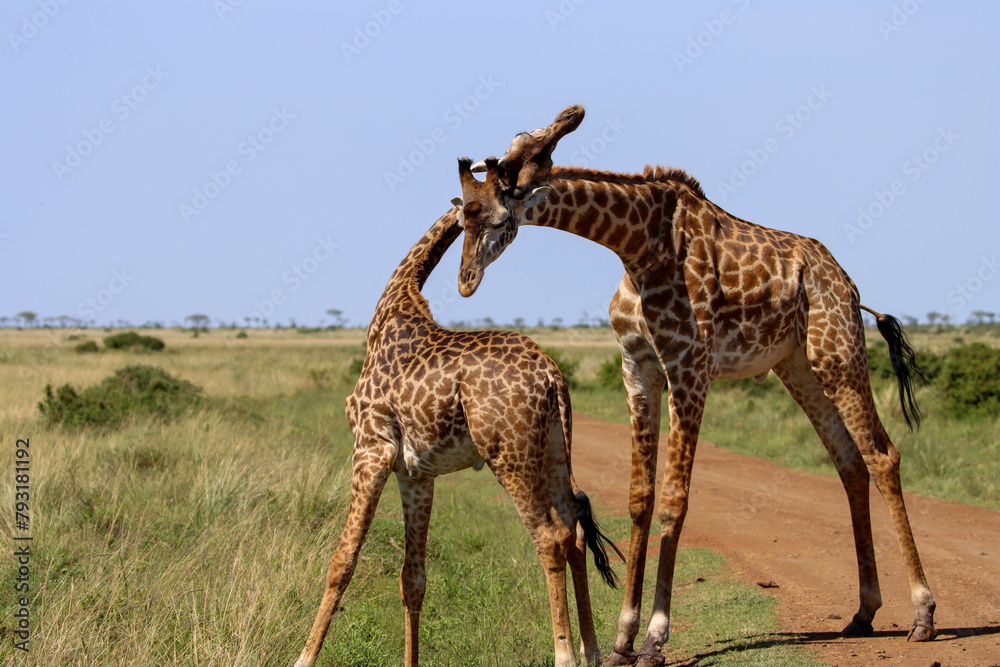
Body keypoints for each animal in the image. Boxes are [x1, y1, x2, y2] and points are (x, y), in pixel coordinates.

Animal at [294, 201, 624, 667]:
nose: (469, 277)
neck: (390, 308)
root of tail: (551, 375)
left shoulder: (371, 449)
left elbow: (342, 559)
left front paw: (303, 657)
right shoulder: (416, 474)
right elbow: (413, 577)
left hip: (510, 455)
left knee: (550, 537)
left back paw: (564, 654)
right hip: (556, 450)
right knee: (575, 529)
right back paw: (590, 650)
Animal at [453, 107, 936, 667]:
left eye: (495, 218)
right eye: (461, 217)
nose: (465, 281)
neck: (637, 245)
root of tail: (850, 284)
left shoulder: (690, 368)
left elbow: (674, 500)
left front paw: (654, 640)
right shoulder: (638, 368)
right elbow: (640, 497)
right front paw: (622, 639)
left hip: (837, 354)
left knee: (883, 456)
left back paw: (923, 615)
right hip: (796, 365)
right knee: (850, 464)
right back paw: (863, 612)